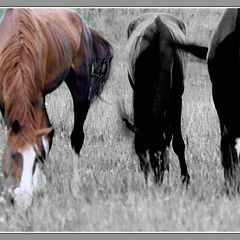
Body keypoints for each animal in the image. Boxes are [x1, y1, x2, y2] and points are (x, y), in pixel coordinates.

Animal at [0, 7, 112, 206]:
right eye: (13, 155)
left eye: (36, 158)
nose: (23, 198)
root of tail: (83, 25)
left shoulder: (36, 99)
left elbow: (43, 140)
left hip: (80, 86)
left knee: (76, 137)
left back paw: (74, 187)